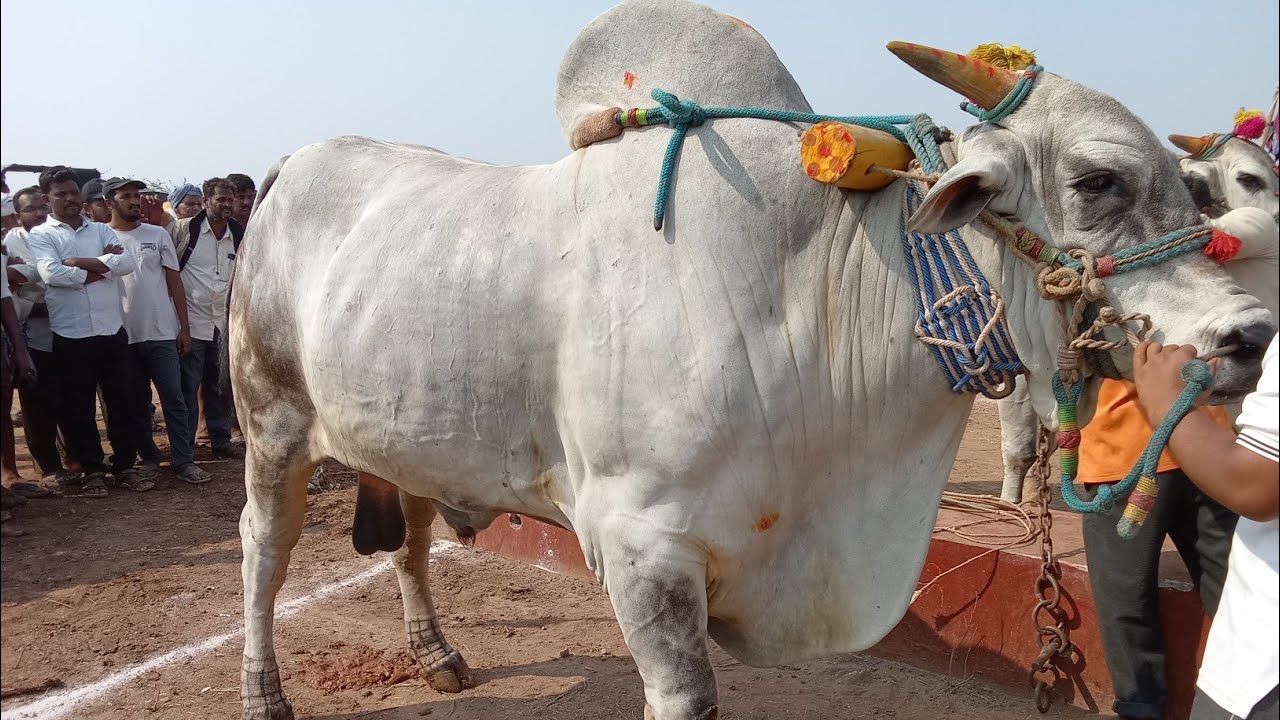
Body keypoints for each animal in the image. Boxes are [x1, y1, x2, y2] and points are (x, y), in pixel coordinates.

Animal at [231, 2, 1273, 718]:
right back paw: (263, 690)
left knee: (408, 537)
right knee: (263, 550)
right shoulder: (642, 550)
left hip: (403, 435)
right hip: (270, 424)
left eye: (1194, 188)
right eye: (1098, 181)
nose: (1250, 336)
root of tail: (289, 165)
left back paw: (436, 654)